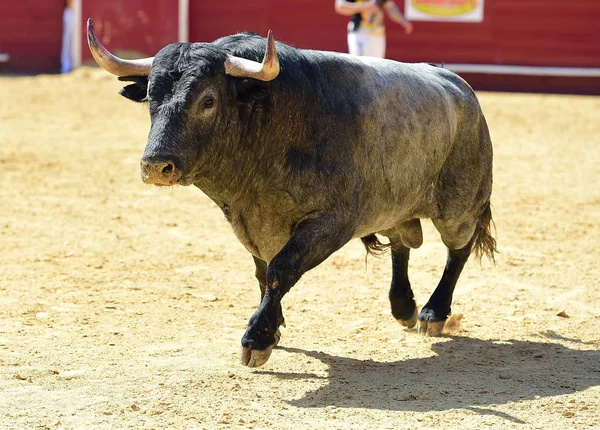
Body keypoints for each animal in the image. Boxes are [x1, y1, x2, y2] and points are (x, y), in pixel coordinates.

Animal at [85, 17, 496, 366]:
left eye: (207, 100)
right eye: (151, 99)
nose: (157, 165)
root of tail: (460, 88)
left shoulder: (331, 222)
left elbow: (280, 269)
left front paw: (258, 337)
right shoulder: (249, 223)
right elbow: (262, 271)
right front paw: (273, 325)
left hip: (460, 204)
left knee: (458, 249)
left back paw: (433, 312)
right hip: (396, 203)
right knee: (400, 243)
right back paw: (403, 306)